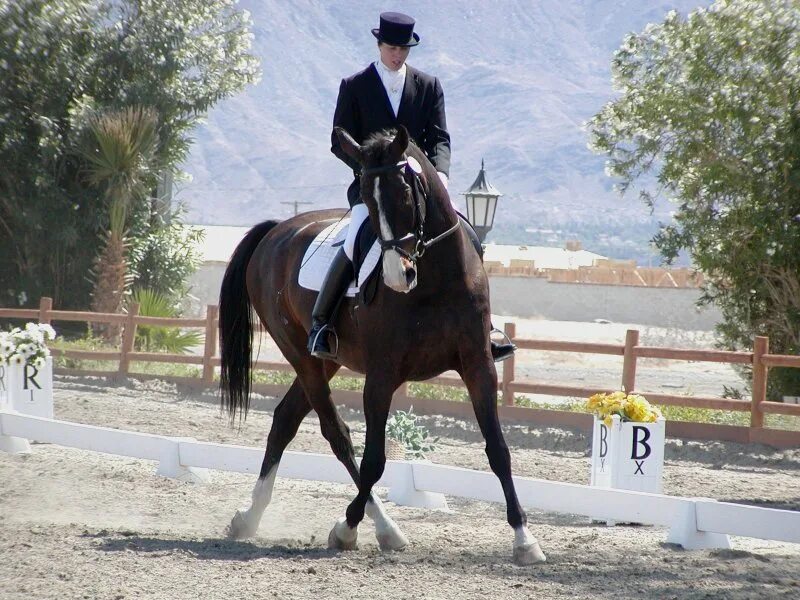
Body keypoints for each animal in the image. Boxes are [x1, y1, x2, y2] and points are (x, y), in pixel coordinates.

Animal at [216, 124, 548, 564]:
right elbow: (374, 458)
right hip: (301, 355)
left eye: (406, 192)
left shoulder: (479, 366)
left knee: (285, 420)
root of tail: (276, 229)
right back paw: (385, 528)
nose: (397, 275)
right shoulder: (382, 375)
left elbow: (499, 451)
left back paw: (249, 517)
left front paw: (525, 539)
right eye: (366, 196)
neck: (436, 279)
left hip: (328, 360)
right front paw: (345, 528)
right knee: (337, 434)